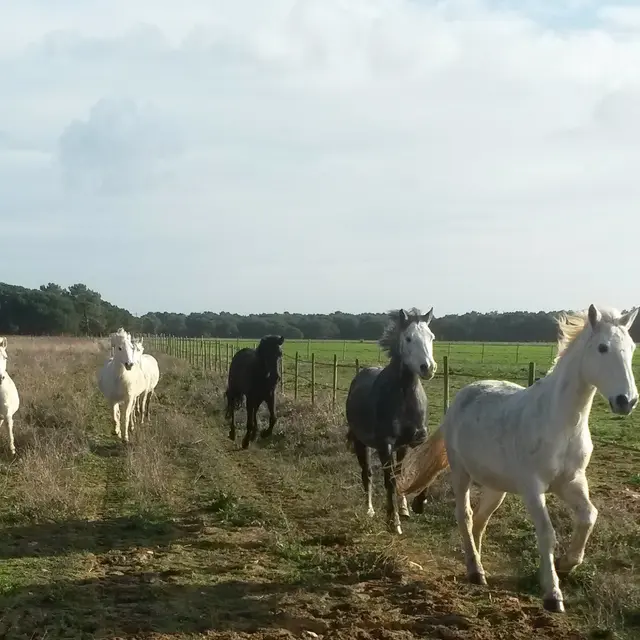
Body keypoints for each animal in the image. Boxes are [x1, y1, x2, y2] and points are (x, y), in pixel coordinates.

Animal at [345, 308, 437, 535]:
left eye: (431, 337)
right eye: (409, 338)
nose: (428, 368)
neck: (404, 398)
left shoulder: (416, 440)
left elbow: (422, 471)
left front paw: (417, 504)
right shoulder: (385, 445)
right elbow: (390, 482)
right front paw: (393, 521)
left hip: (400, 447)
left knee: (398, 471)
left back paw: (403, 507)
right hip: (362, 443)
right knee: (367, 474)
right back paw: (370, 510)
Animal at [398, 304, 639, 613]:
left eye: (631, 348)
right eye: (602, 347)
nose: (626, 401)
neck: (560, 424)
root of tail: (463, 396)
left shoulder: (572, 482)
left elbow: (588, 517)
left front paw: (566, 565)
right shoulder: (533, 488)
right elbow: (547, 534)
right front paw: (553, 594)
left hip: (496, 487)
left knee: (480, 520)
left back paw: (476, 563)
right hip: (461, 473)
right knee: (465, 516)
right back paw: (475, 570)